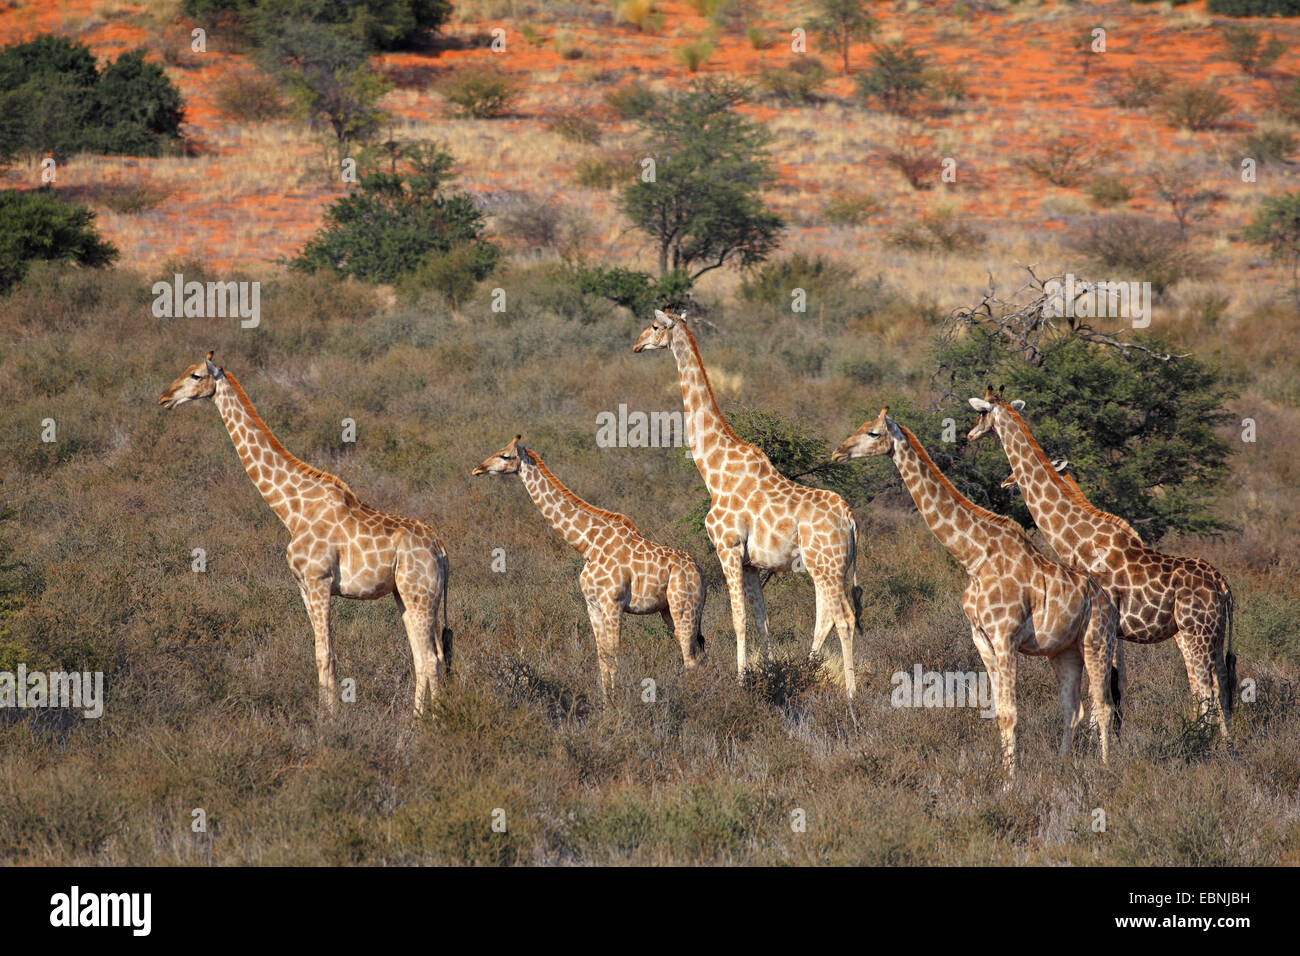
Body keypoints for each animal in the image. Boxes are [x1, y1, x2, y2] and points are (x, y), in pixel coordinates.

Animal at [156, 351, 452, 717]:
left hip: (419, 593)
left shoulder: (319, 580)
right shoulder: (302, 585)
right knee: (429, 656)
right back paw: (422, 716)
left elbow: (326, 656)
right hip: (408, 595)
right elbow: (319, 654)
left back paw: (428, 721)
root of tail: (441, 550)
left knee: (430, 658)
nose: (164, 397)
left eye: (196, 375)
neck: (292, 510)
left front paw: (330, 720)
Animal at [473, 437, 707, 697]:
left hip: (683, 607)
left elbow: (614, 657)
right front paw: (607, 702)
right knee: (698, 651)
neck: (587, 544)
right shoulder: (592, 605)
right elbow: (603, 658)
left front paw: (618, 702)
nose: (478, 469)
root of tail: (698, 571)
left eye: (504, 456)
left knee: (690, 656)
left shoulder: (613, 603)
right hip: (669, 610)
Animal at [631, 312, 863, 697]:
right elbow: (762, 619)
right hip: (830, 568)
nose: (636, 345)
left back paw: (851, 692)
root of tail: (849, 519)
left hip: (826, 566)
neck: (714, 471)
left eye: (654, 326)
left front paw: (741, 680)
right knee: (828, 617)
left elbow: (738, 619)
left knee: (843, 618)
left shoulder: (727, 547)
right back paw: (807, 670)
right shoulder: (753, 562)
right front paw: (771, 673)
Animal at [837, 408, 1123, 775]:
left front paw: (1010, 781)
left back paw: (1105, 768)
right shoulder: (982, 639)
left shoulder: (1005, 637)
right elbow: (999, 712)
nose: (838, 452)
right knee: (1072, 709)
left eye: (873, 433)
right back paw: (1062, 766)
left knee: (1103, 705)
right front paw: (1004, 773)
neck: (974, 557)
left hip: (1096, 641)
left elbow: (1011, 713)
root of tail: (1110, 603)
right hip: (1063, 650)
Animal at [967, 385, 1237, 738]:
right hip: (1213, 634)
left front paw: (1096, 738)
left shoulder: (1099, 622)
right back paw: (1225, 741)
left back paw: (1201, 739)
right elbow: (1116, 684)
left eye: (981, 412)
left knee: (1205, 686)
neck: (1077, 537)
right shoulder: (1113, 629)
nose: (969, 434)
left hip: (1195, 631)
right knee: (1221, 682)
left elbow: (1106, 686)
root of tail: (1223, 587)